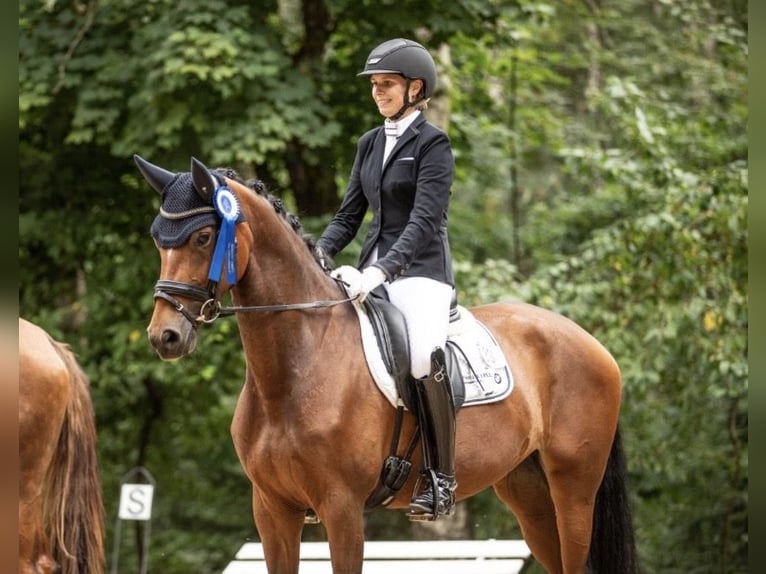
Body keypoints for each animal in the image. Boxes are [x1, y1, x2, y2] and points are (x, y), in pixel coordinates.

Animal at [135, 154, 637, 574]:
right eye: (158, 241)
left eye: (203, 237)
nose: (165, 337)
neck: (292, 374)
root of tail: (592, 343)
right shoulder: (272, 509)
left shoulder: (342, 508)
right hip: (529, 493)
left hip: (574, 491)